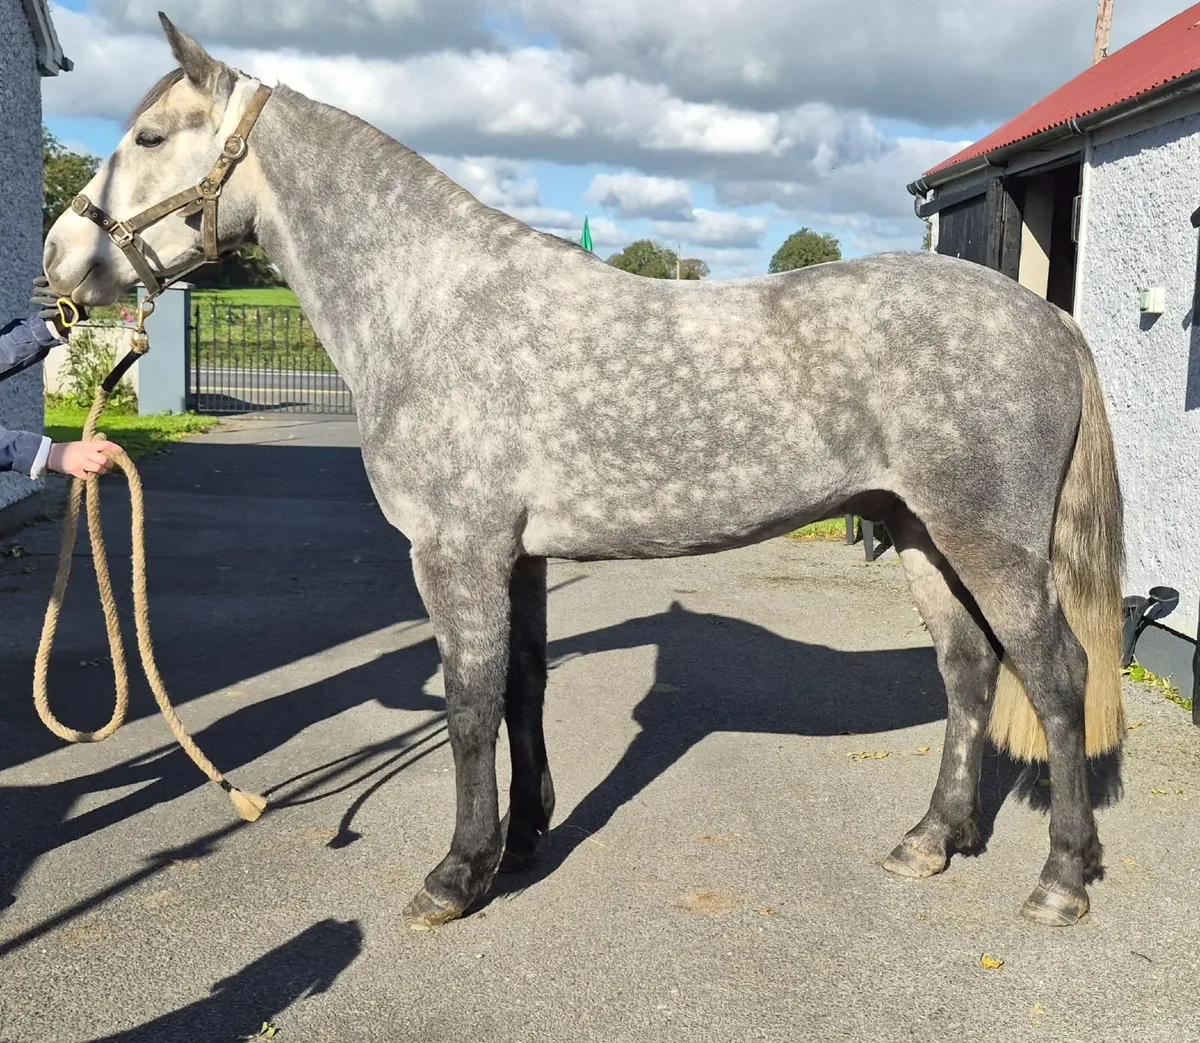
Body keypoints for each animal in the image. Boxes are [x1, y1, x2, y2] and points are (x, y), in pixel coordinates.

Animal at [43, 14, 1125, 930]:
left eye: (148, 136)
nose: (59, 254)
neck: (433, 307)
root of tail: (1049, 318)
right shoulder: (516, 556)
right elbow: (522, 688)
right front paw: (521, 841)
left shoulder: (455, 553)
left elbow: (469, 704)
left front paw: (456, 875)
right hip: (919, 533)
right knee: (969, 670)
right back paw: (931, 839)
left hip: (989, 541)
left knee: (1057, 675)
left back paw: (1060, 881)